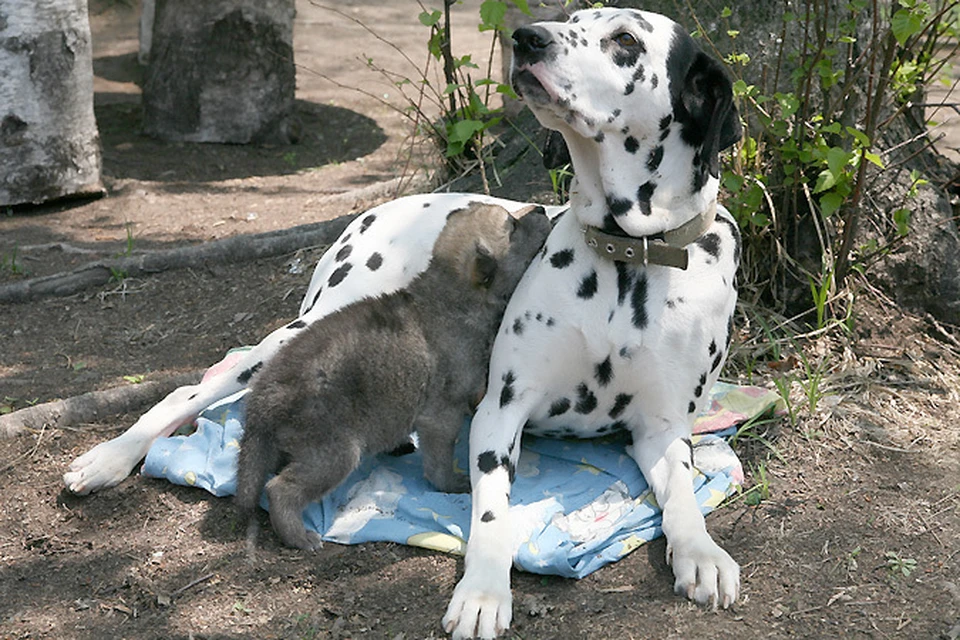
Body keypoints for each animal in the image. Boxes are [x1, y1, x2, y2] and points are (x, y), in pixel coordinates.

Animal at [62, 194, 564, 496]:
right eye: (512, 227)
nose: (542, 211)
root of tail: (372, 214)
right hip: (299, 335)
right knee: (190, 392)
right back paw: (108, 458)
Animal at [438, 6, 740, 640]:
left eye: (624, 39)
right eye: (573, 18)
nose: (526, 38)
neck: (628, 259)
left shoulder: (661, 428)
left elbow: (684, 494)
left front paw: (701, 551)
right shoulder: (500, 412)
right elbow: (492, 510)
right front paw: (482, 589)